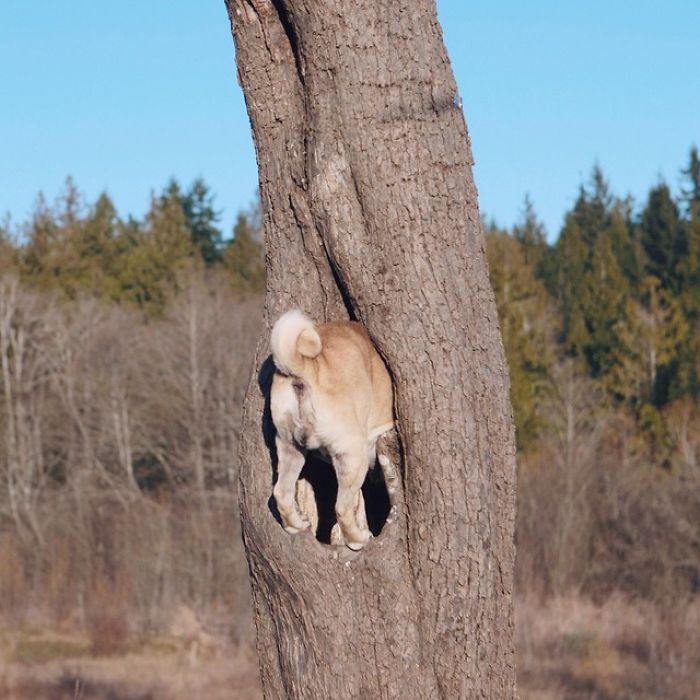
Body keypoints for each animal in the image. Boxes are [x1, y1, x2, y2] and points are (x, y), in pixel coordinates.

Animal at [270, 308, 394, 548]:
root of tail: (307, 367)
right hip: (353, 455)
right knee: (342, 508)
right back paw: (357, 540)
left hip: (289, 446)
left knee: (281, 492)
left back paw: (295, 525)